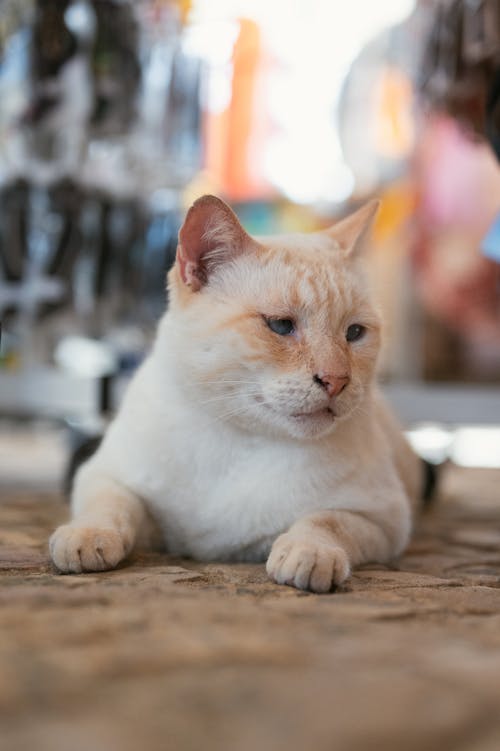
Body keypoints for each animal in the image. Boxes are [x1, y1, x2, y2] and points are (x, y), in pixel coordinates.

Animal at [49, 194, 422, 592]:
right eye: (281, 326)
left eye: (354, 333)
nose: (336, 380)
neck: (239, 439)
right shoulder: (104, 475)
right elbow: (111, 507)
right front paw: (85, 538)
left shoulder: (383, 519)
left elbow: (325, 521)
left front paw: (308, 554)